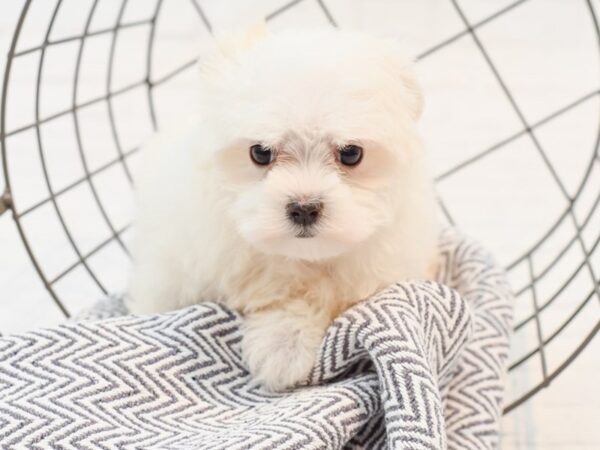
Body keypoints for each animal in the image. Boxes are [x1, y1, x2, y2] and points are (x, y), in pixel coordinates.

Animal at [126, 28, 438, 392]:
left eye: (351, 154)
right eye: (260, 153)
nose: (304, 208)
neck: (297, 257)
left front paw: (282, 348)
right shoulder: (178, 266)